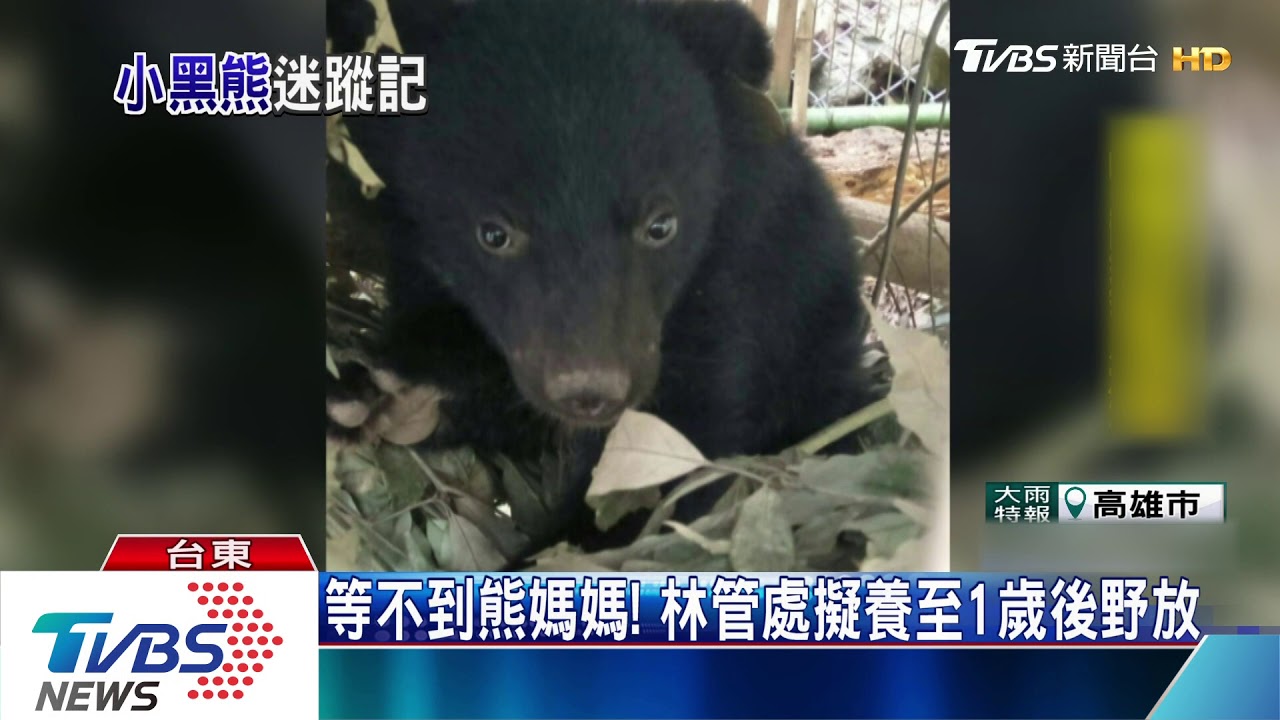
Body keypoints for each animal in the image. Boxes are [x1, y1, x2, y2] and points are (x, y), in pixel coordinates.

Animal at [328, 0, 877, 557]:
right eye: (493, 233)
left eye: (661, 225)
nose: (590, 391)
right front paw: (374, 388)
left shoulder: (731, 280)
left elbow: (678, 455)